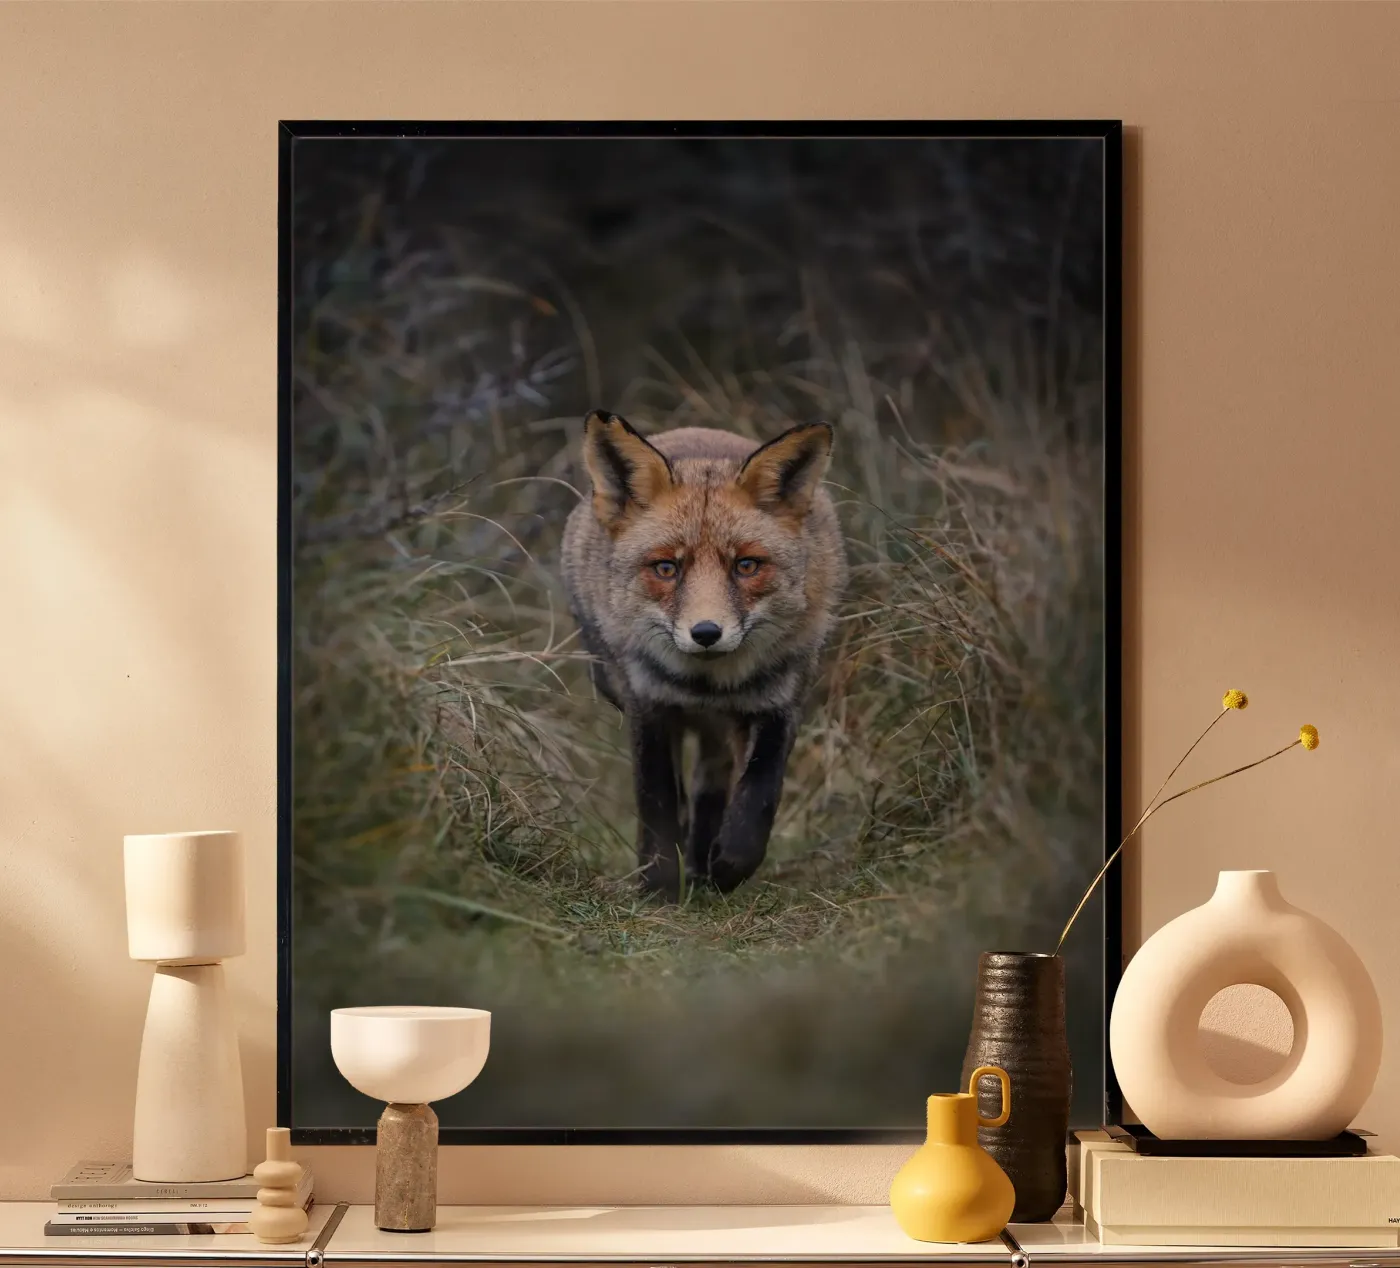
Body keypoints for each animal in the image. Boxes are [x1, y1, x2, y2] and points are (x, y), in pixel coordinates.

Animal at [561, 410, 848, 899]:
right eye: (666, 568)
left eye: (746, 565)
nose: (707, 633)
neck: (707, 685)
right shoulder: (649, 706)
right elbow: (658, 804)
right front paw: (659, 888)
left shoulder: (779, 703)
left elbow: (759, 795)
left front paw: (729, 865)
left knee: (711, 786)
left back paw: (702, 862)